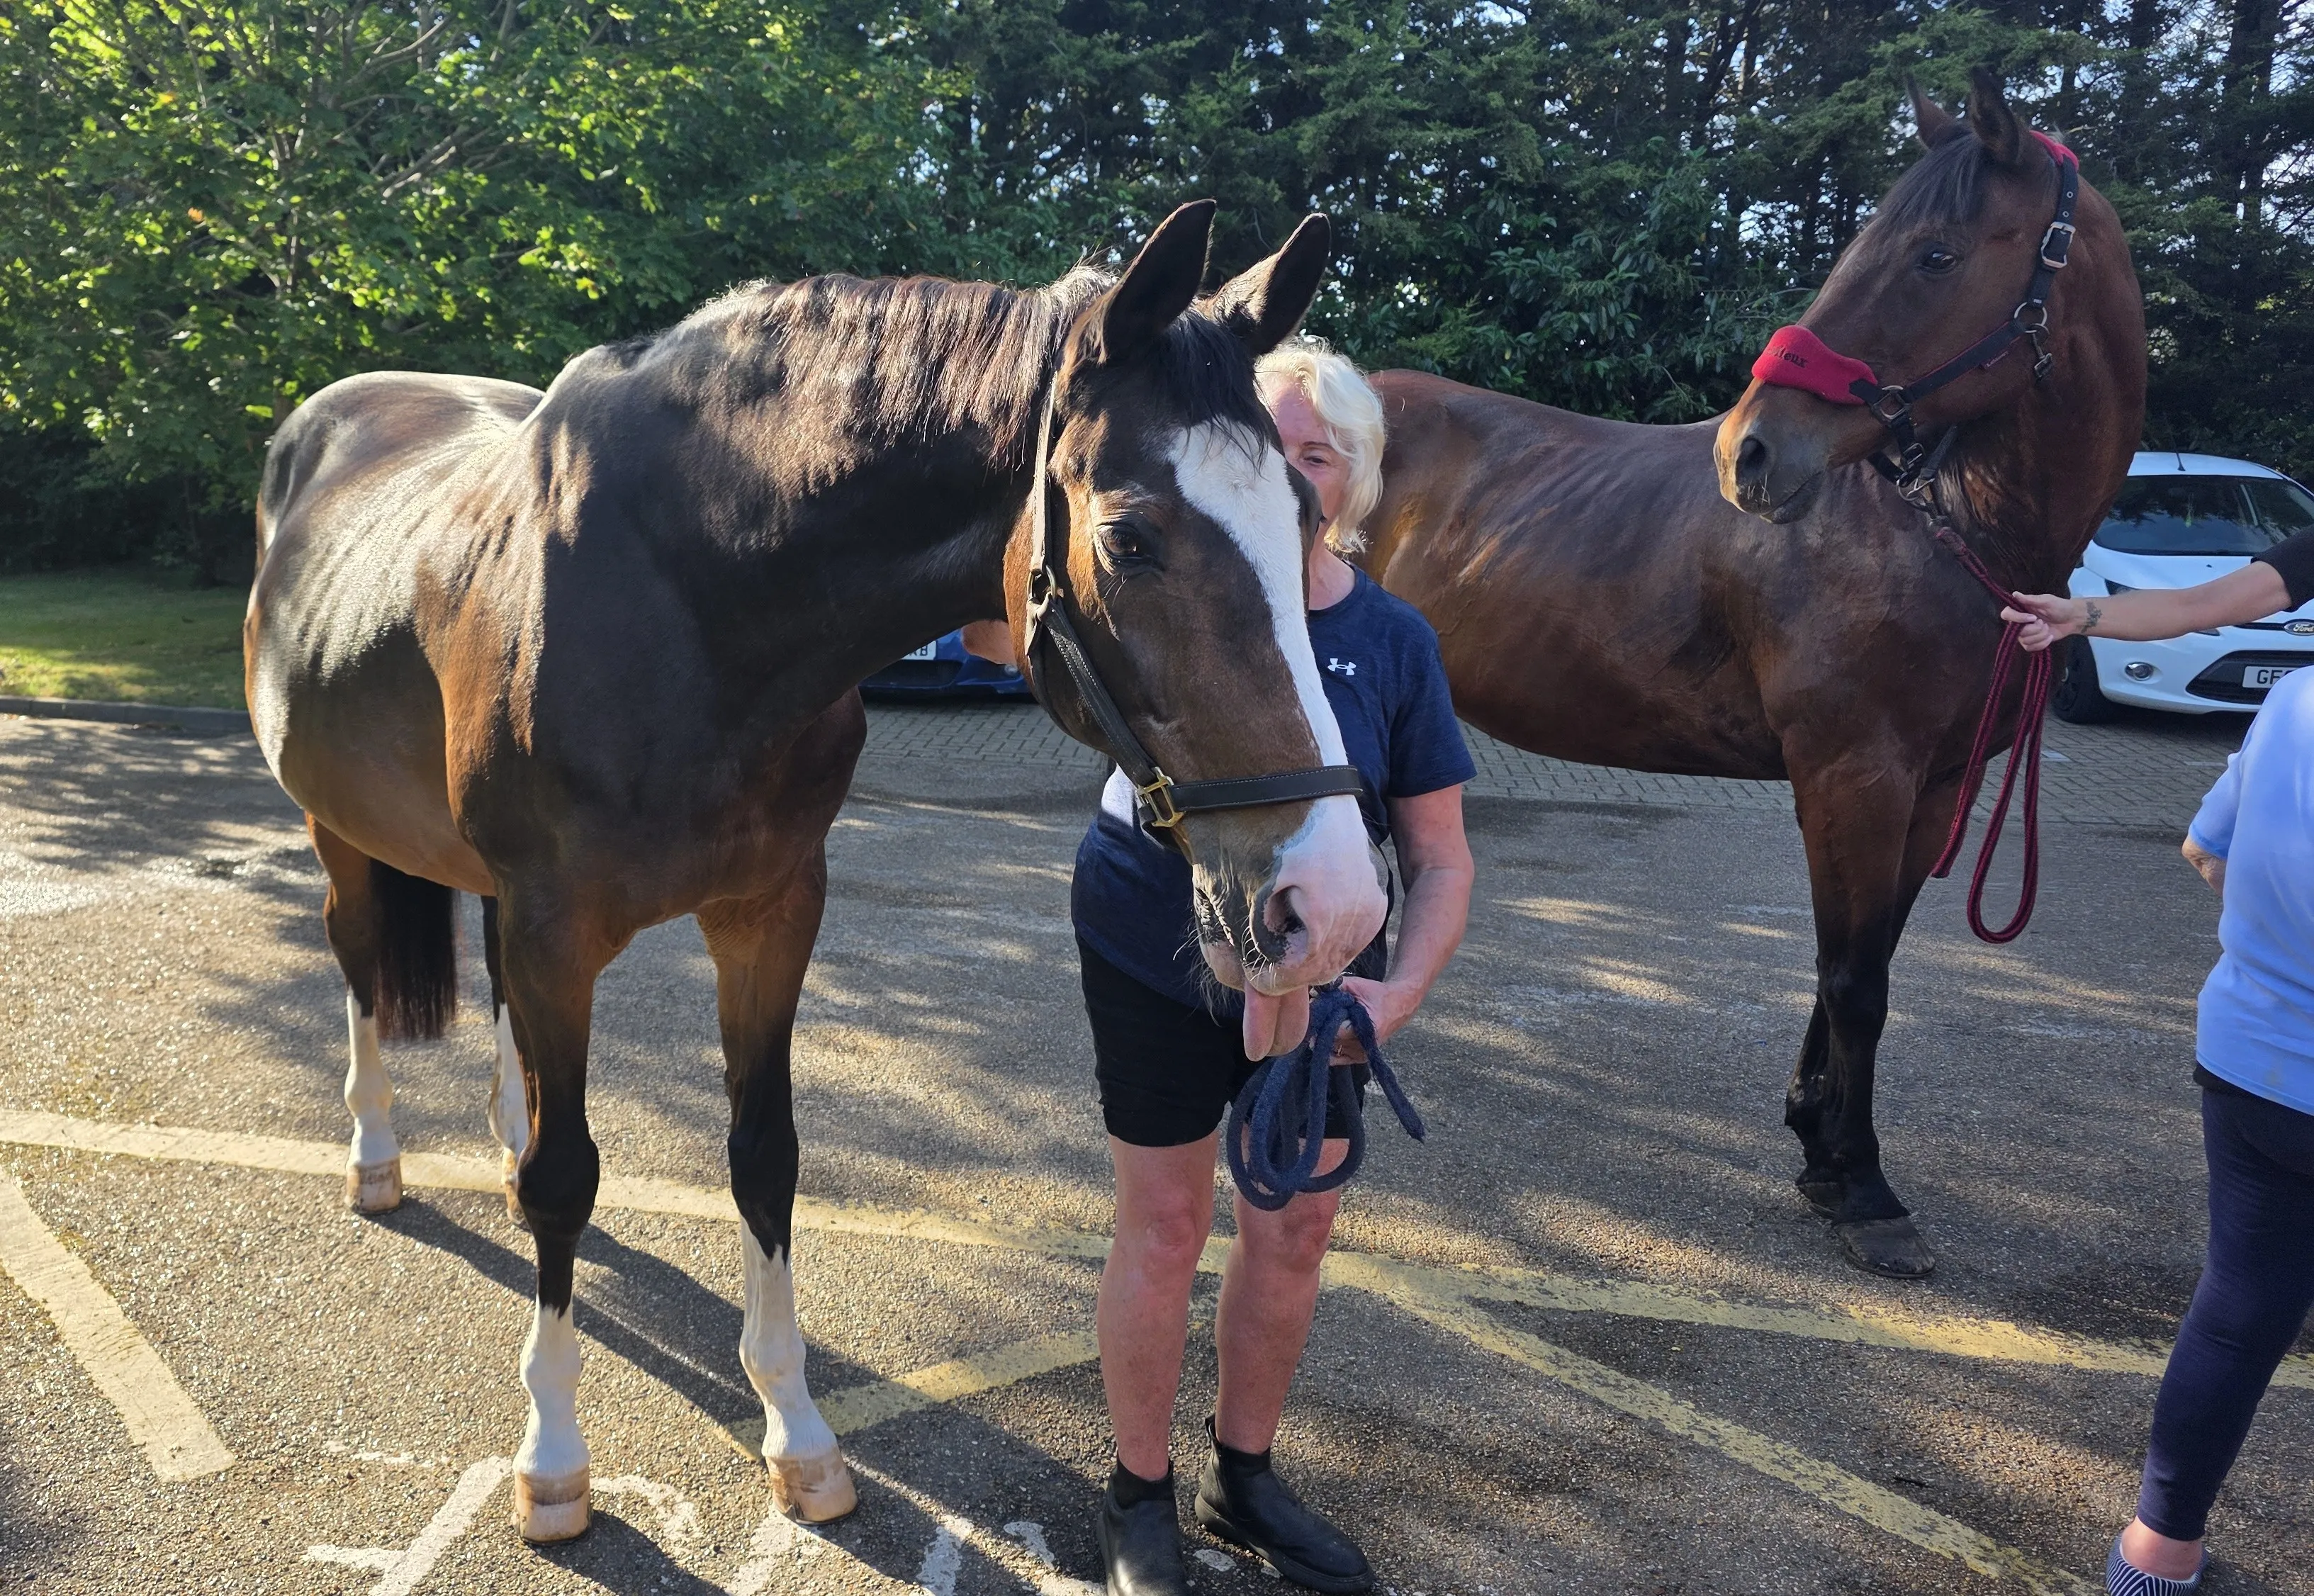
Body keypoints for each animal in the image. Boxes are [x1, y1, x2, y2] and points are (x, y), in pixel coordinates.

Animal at [244, 199, 1389, 1541]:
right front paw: (555, 1457)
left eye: (1304, 518)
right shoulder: (554, 928)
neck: (690, 604)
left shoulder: (770, 913)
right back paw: (375, 1155)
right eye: (1132, 536)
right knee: (361, 961)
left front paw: (797, 1434)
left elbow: (763, 1157)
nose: (1335, 902)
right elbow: (568, 1179)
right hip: (339, 832)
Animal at [1361, 70, 2145, 1278]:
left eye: (1935, 255)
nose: (1752, 452)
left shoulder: (1928, 792)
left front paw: (1819, 1147)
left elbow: (1860, 965)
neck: (1926, 527)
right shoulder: (1851, 778)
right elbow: (1855, 980)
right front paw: (1865, 1188)